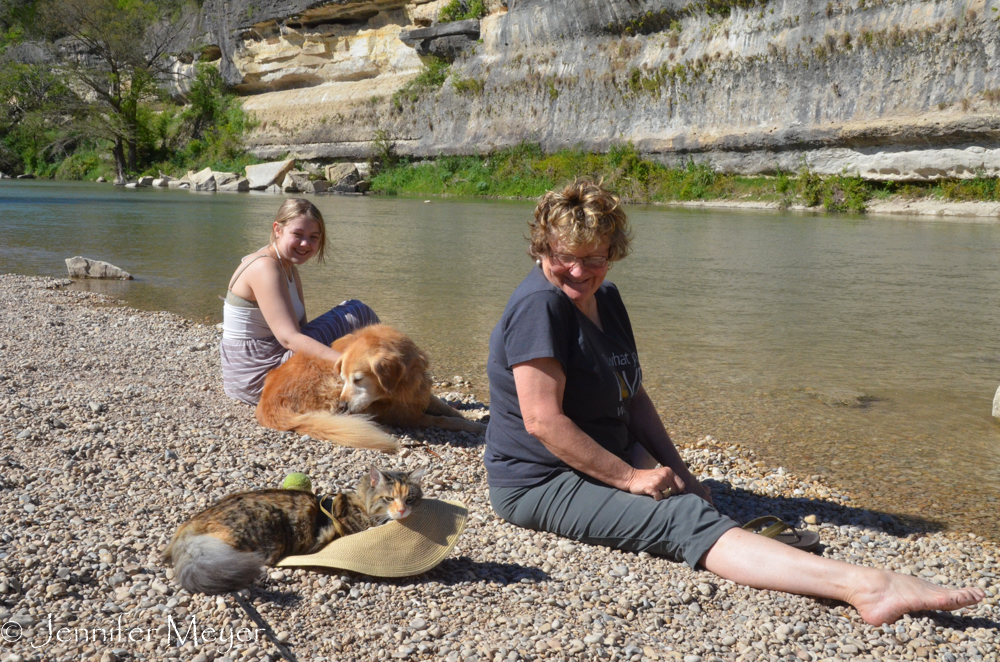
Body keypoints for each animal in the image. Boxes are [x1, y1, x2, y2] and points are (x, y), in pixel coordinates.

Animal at [256, 324, 486, 454]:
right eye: (345, 379)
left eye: (358, 380)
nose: (343, 405)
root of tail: (267, 404)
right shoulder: (408, 416)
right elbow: (445, 420)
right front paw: (475, 427)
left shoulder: (417, 394)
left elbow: (448, 409)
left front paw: (474, 415)